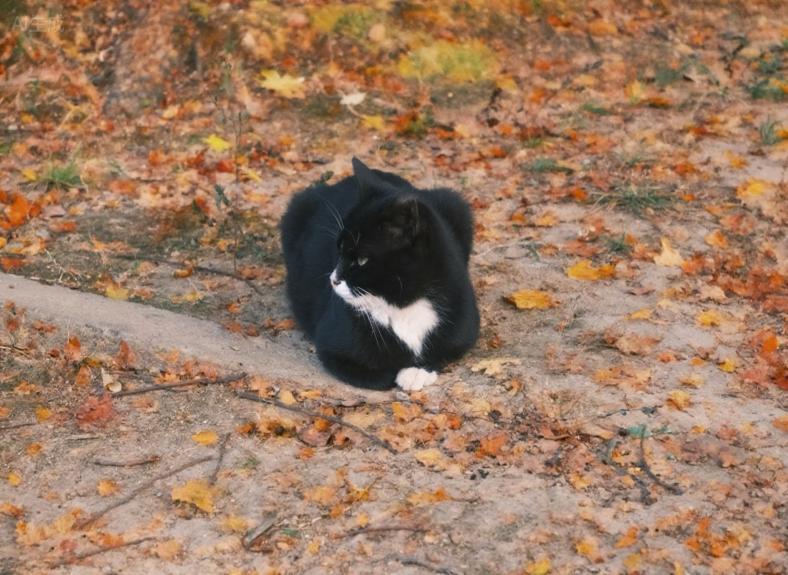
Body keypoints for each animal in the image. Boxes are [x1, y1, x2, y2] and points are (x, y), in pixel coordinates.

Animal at [280, 158, 479, 391]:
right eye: (339, 249)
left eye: (362, 260)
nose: (333, 280)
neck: (402, 302)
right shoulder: (332, 347)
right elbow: (382, 376)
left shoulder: (464, 324)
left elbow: (445, 351)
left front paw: (418, 371)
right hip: (297, 208)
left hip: (455, 203)